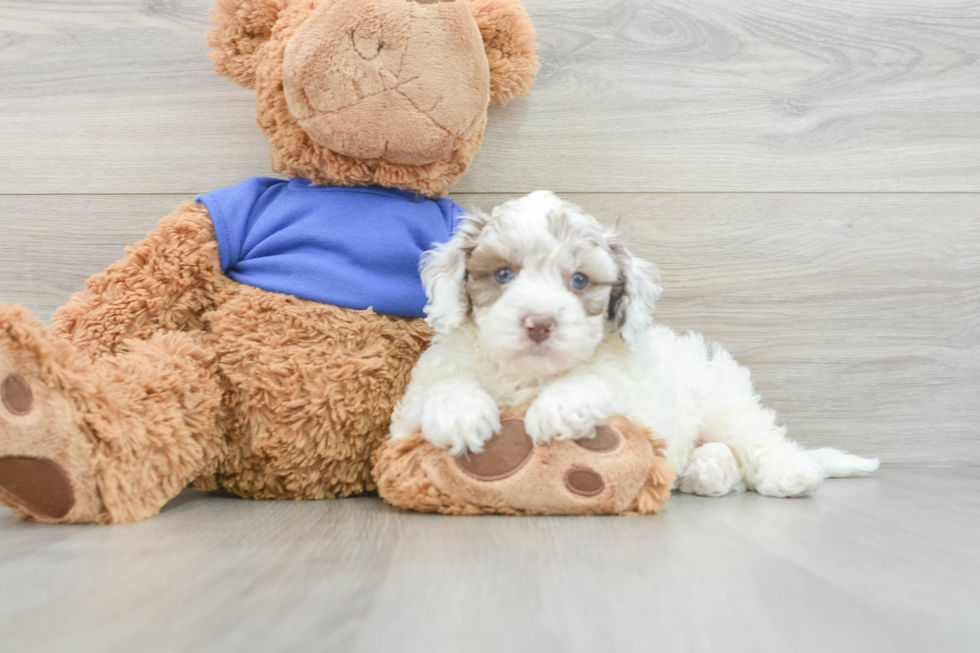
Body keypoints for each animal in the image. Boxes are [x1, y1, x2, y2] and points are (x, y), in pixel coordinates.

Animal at [390, 191, 880, 496]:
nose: (539, 323)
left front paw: (560, 406)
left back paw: (789, 472)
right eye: (503, 274)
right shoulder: (408, 412)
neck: (531, 376)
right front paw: (459, 414)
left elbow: (601, 383)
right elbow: (443, 387)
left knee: (758, 441)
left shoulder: (638, 399)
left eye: (580, 281)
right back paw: (707, 470)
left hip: (722, 400)